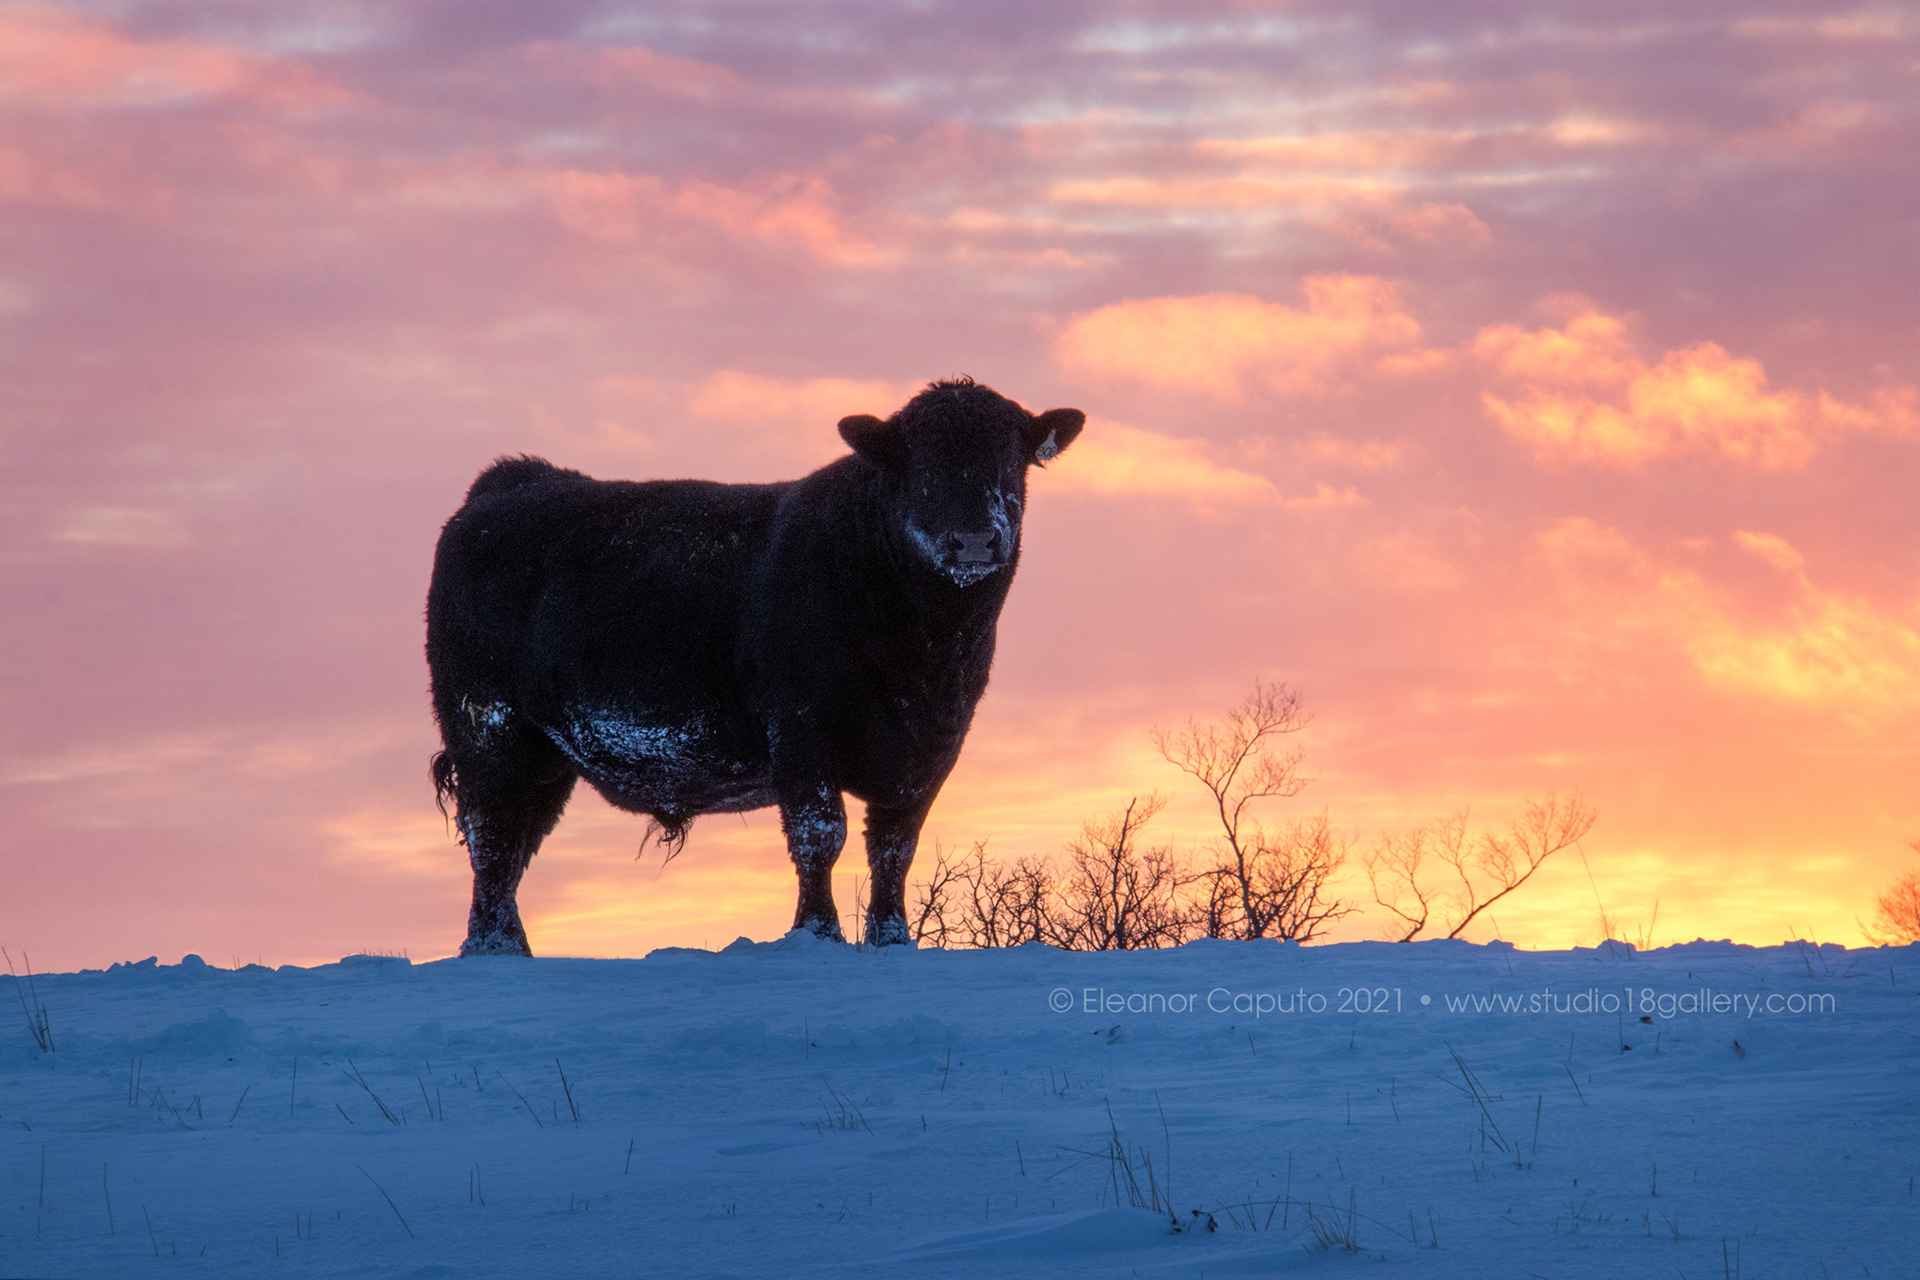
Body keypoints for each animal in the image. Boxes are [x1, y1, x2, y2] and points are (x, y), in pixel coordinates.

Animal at [425, 378, 1084, 955]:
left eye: (1011, 461)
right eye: (920, 468)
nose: (971, 539)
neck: (928, 652)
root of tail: (510, 482)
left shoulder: (932, 749)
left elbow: (895, 847)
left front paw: (893, 940)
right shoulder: (800, 730)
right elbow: (820, 836)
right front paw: (818, 935)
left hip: (544, 755)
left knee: (516, 841)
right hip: (486, 724)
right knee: (492, 837)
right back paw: (494, 948)